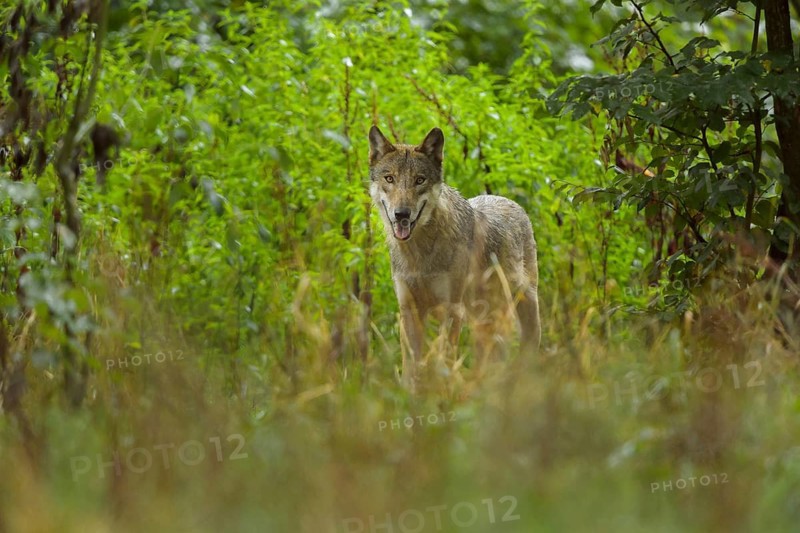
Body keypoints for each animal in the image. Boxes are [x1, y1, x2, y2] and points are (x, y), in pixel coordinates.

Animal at [368, 125, 541, 364]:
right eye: (389, 178)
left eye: (419, 180)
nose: (401, 214)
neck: (420, 255)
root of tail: (509, 200)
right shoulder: (409, 311)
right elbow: (412, 365)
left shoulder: (451, 310)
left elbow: (445, 359)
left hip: (523, 309)